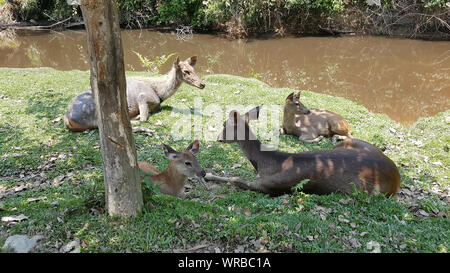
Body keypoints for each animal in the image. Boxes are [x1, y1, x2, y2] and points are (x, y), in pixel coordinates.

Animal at [64, 55, 205, 131]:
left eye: (194, 69)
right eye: (186, 71)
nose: (202, 84)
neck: (160, 93)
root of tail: (68, 118)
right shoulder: (143, 96)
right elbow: (143, 118)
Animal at [211, 105, 400, 197]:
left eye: (224, 124)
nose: (218, 138)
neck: (265, 164)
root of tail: (397, 177)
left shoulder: (271, 186)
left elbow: (235, 179)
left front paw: (209, 175)